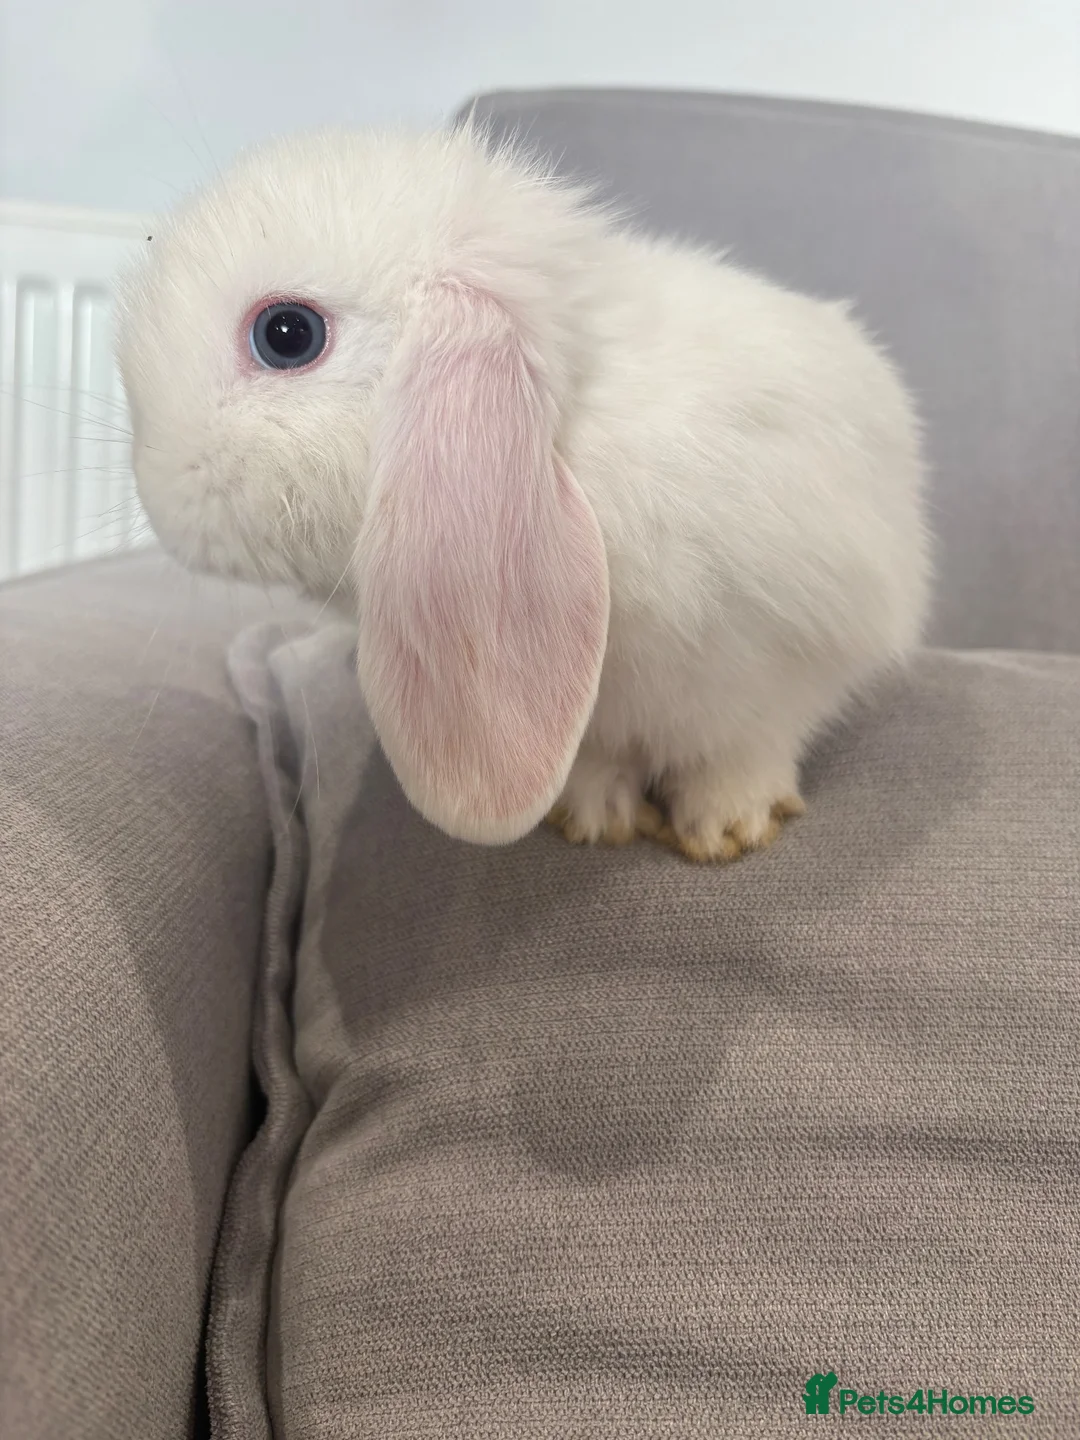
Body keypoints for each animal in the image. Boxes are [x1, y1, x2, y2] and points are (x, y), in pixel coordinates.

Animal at [116, 123, 930, 861]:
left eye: (287, 335)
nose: (155, 496)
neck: (570, 436)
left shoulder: (781, 665)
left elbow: (745, 747)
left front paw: (727, 827)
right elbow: (599, 760)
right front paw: (592, 819)